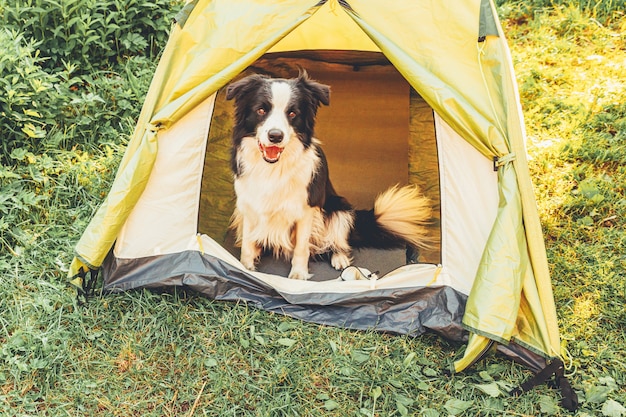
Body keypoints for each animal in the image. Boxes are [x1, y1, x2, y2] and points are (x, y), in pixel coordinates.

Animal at [224, 71, 428, 280]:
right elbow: (248, 243)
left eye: (292, 113)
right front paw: (244, 268)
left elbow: (301, 247)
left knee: (336, 243)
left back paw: (340, 259)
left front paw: (298, 275)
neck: (273, 167)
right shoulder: (249, 204)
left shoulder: (307, 209)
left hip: (339, 208)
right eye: (261, 110)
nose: (275, 136)